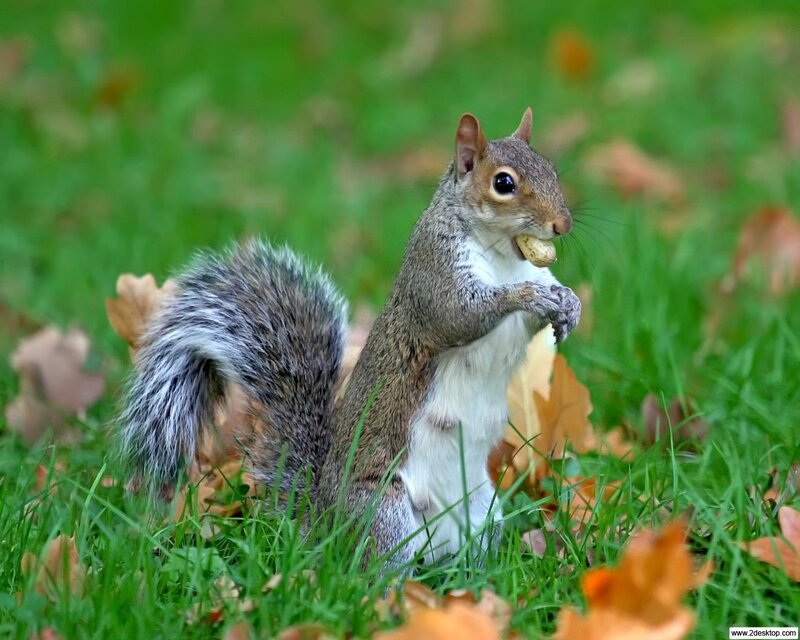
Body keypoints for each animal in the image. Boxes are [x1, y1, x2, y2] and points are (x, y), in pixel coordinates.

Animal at [120, 108, 581, 569]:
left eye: (551, 169)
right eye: (503, 183)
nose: (563, 225)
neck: (505, 255)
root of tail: (324, 521)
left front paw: (568, 304)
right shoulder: (434, 273)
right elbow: (459, 316)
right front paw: (530, 296)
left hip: (482, 510)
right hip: (383, 510)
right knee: (375, 568)